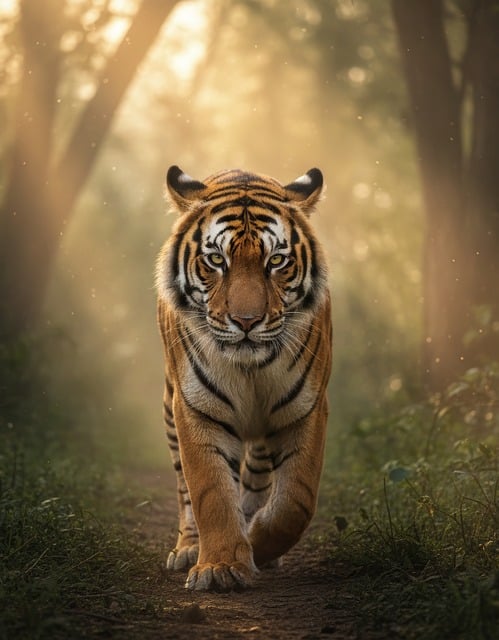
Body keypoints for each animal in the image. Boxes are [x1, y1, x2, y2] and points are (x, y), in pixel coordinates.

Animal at [156, 165, 332, 592]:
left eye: (277, 260)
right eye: (216, 259)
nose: (247, 321)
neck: (250, 368)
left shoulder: (307, 409)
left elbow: (295, 501)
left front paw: (256, 545)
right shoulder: (196, 409)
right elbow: (210, 492)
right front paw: (220, 567)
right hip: (170, 409)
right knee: (185, 488)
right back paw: (189, 548)